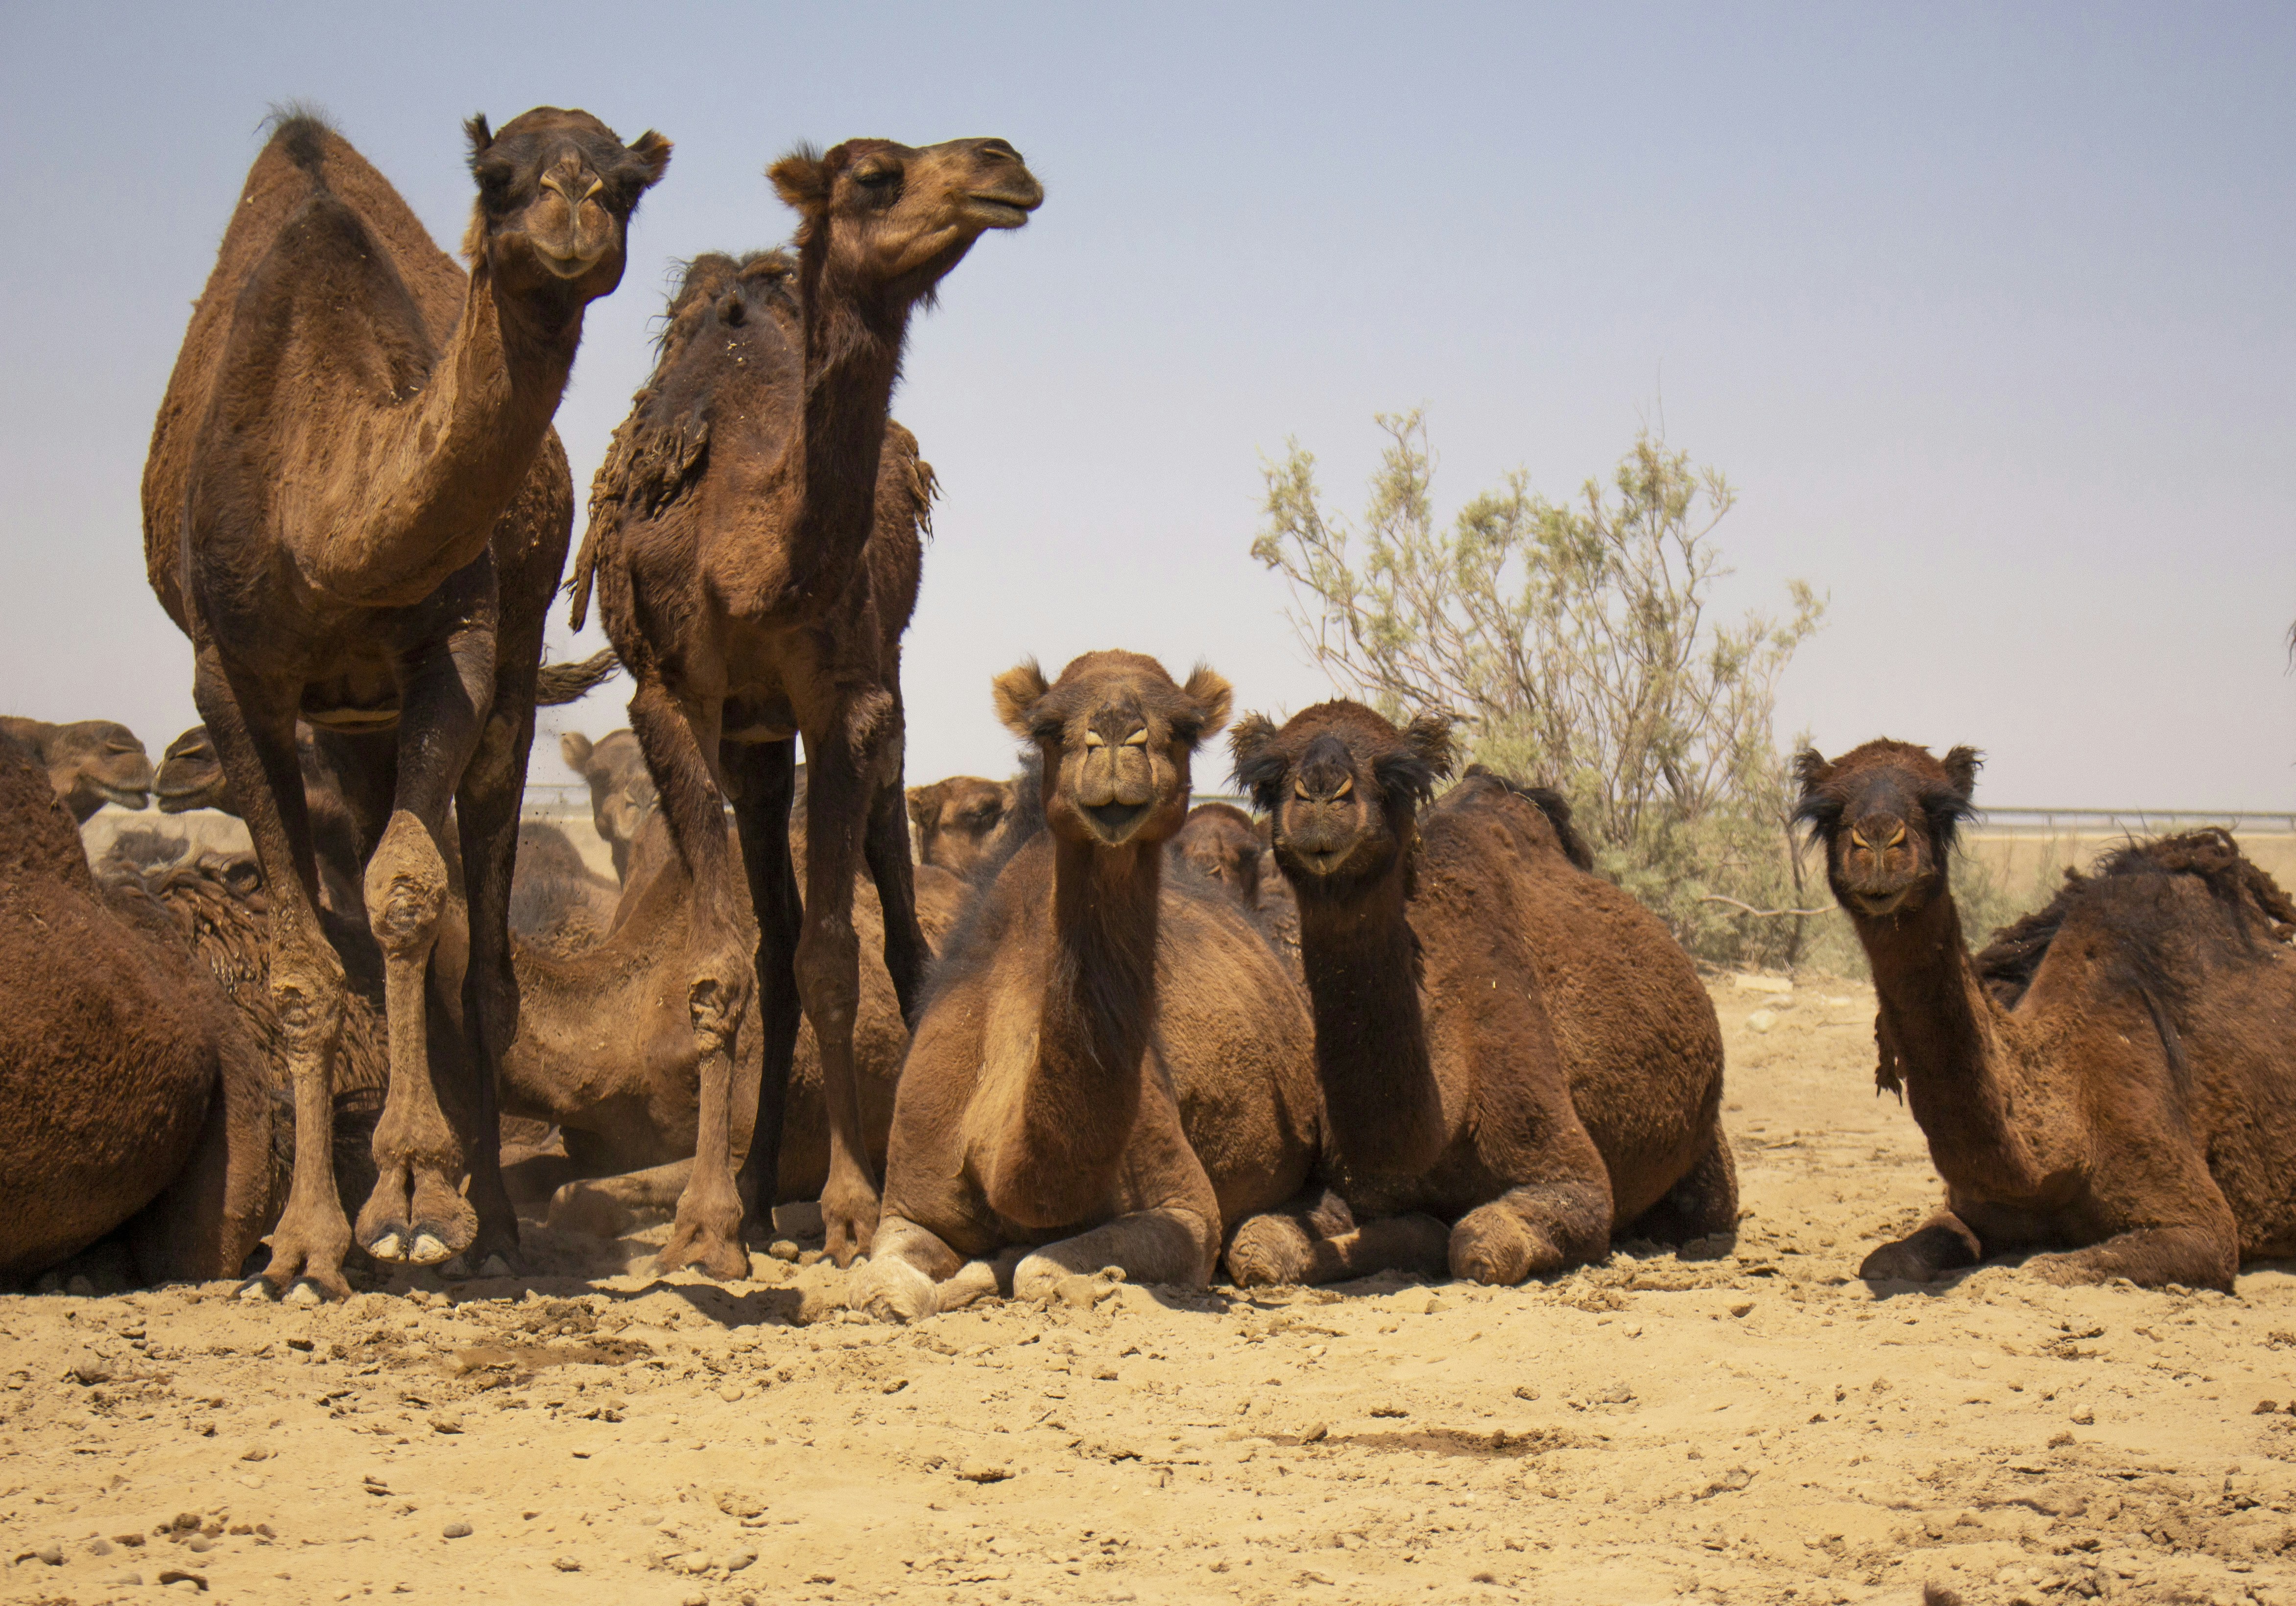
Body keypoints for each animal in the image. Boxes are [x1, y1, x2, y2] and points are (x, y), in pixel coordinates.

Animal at [141, 109, 668, 1296]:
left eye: (627, 182)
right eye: (497, 175)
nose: (572, 211)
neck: (320, 512)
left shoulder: (456, 650)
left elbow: (411, 894)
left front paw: (413, 1197)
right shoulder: (232, 677)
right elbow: (303, 965)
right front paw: (304, 1245)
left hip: (493, 691)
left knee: (484, 962)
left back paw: (493, 1229)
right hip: (347, 727)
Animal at [1226, 702, 1737, 1285]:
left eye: (1398, 776)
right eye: (1267, 778)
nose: (1320, 792)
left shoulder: (1570, 1176)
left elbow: (1477, 1243)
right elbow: (1255, 1246)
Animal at [1795, 739, 2296, 1291]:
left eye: (1941, 808)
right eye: (1826, 811)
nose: (1879, 842)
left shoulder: (2203, 1226)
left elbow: (2039, 1269)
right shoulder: (1969, 1210)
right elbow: (1885, 1260)